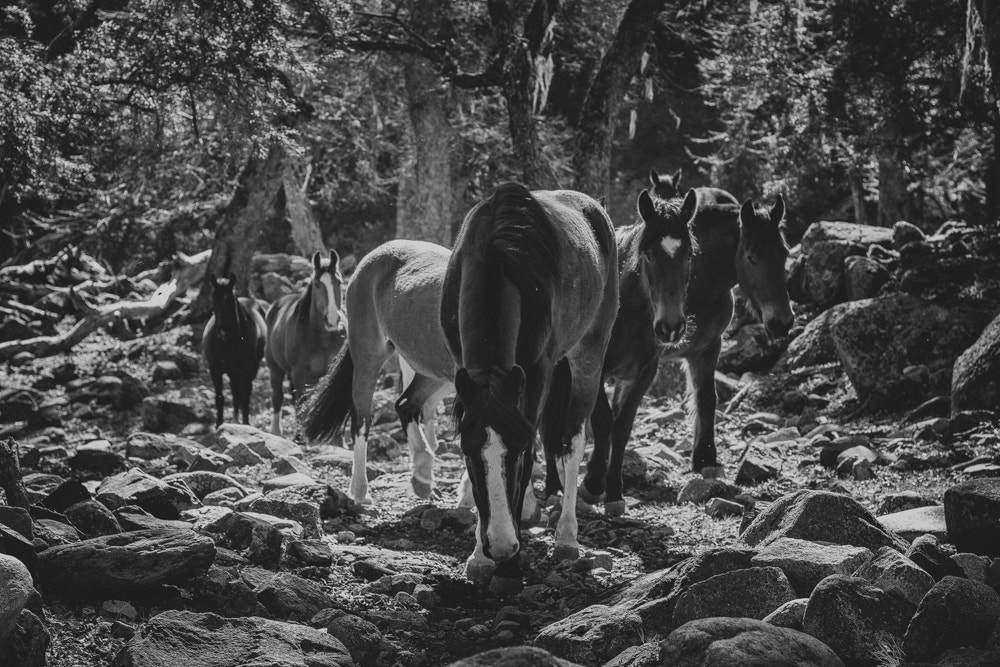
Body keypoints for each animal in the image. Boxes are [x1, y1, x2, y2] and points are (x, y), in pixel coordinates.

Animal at [202, 273, 267, 427]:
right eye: (213, 300)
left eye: (230, 301)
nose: (222, 330)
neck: (228, 342)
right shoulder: (215, 369)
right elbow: (219, 397)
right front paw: (219, 425)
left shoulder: (246, 368)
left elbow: (244, 395)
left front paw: (246, 423)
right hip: (233, 372)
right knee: (235, 391)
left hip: (250, 368)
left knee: (244, 392)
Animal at [265, 250, 346, 436]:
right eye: (317, 284)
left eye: (339, 282)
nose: (332, 319)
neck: (322, 337)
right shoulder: (299, 373)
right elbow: (301, 406)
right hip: (276, 369)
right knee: (278, 397)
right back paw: (276, 431)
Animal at [442, 182, 619, 594]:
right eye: (468, 455)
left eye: (518, 454)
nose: (502, 546)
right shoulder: (465, 368)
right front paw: (480, 556)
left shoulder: (537, 371)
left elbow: (536, 439)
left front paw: (509, 566)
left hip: (589, 350)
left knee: (572, 440)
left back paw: (567, 537)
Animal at [580, 195, 794, 509]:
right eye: (752, 258)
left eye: (784, 254)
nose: (783, 322)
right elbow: (604, 420)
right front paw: (594, 482)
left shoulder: (704, 350)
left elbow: (705, 398)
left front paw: (706, 458)